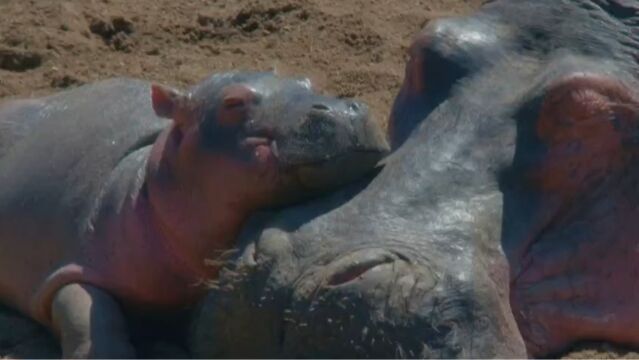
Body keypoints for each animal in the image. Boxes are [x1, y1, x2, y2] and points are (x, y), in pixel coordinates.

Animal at [0, 71, 390, 358]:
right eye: (232, 102)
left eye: (307, 81)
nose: (346, 110)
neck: (144, 181)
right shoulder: (75, 259)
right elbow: (88, 310)